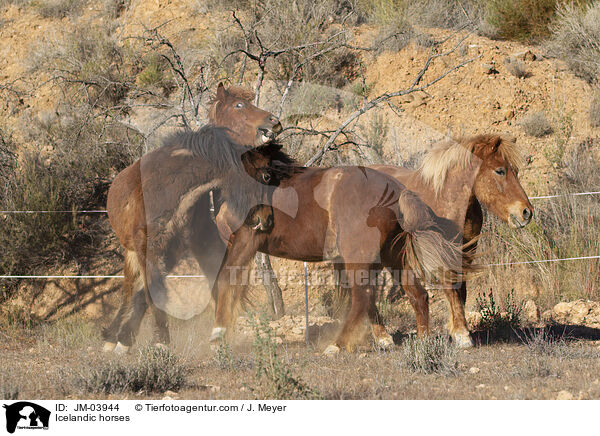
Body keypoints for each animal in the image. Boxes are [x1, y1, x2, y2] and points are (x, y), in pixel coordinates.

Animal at [102, 83, 282, 352]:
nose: (274, 122)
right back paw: (113, 336)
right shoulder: (147, 248)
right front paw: (159, 341)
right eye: (239, 105)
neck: (168, 186)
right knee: (128, 291)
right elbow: (151, 292)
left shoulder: (187, 248)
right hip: (134, 252)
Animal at [211, 164, 474, 354]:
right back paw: (422, 340)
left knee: (364, 296)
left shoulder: (243, 242)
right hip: (392, 256)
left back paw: (337, 345)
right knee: (416, 294)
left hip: (361, 257)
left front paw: (218, 335)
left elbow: (224, 282)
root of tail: (398, 190)